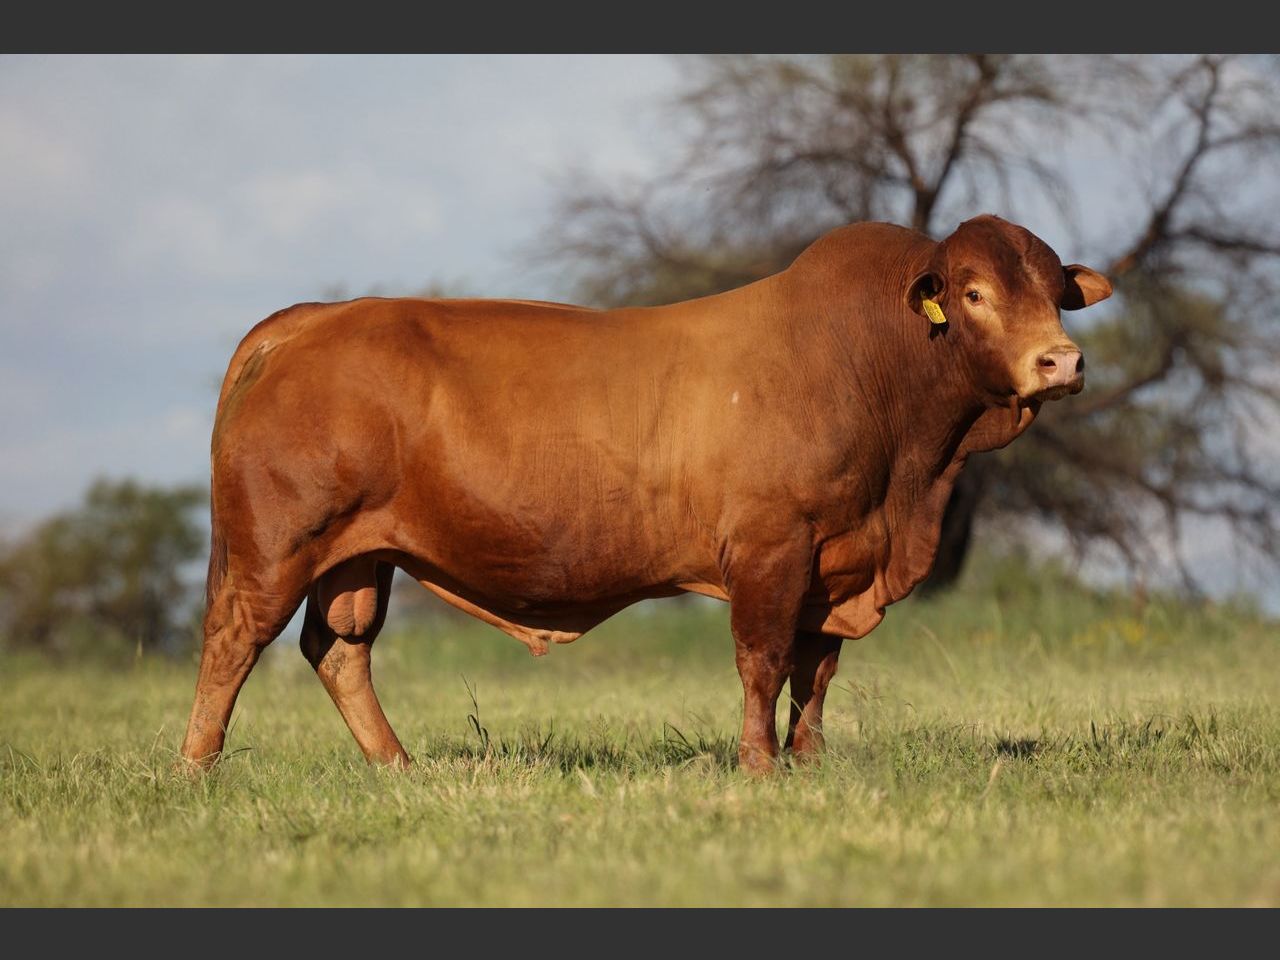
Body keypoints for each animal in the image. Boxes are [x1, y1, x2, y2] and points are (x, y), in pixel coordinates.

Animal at [180, 214, 1112, 774]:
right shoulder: (773, 548)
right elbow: (763, 661)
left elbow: (816, 672)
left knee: (338, 648)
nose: (1061, 360)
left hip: (359, 554)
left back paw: (398, 768)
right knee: (233, 641)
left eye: (1054, 293)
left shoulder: (837, 562)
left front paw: (808, 761)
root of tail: (313, 318)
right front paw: (758, 767)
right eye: (974, 293)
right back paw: (198, 765)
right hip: (277, 546)